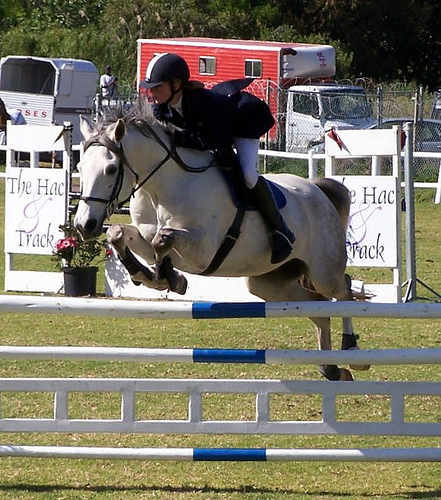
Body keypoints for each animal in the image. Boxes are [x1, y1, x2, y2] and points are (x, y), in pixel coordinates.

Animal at [74, 107, 370, 381]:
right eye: (79, 168)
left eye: (111, 169)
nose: (83, 225)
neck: (160, 187)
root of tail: (319, 191)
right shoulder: (146, 237)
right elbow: (119, 233)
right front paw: (152, 276)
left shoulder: (202, 252)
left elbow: (163, 238)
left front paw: (168, 278)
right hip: (269, 282)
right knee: (319, 307)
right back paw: (331, 368)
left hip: (322, 270)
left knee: (343, 289)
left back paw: (352, 353)